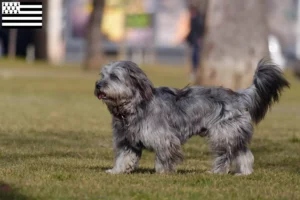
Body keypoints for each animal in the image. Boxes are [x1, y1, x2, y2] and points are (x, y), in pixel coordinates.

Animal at [95, 59, 290, 175]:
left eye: (114, 76)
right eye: (102, 75)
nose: (98, 85)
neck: (135, 107)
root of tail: (238, 96)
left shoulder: (165, 139)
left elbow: (164, 158)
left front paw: (162, 173)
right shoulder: (127, 141)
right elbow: (124, 158)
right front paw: (115, 171)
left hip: (222, 135)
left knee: (226, 156)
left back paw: (217, 172)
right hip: (232, 134)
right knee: (244, 154)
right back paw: (244, 173)